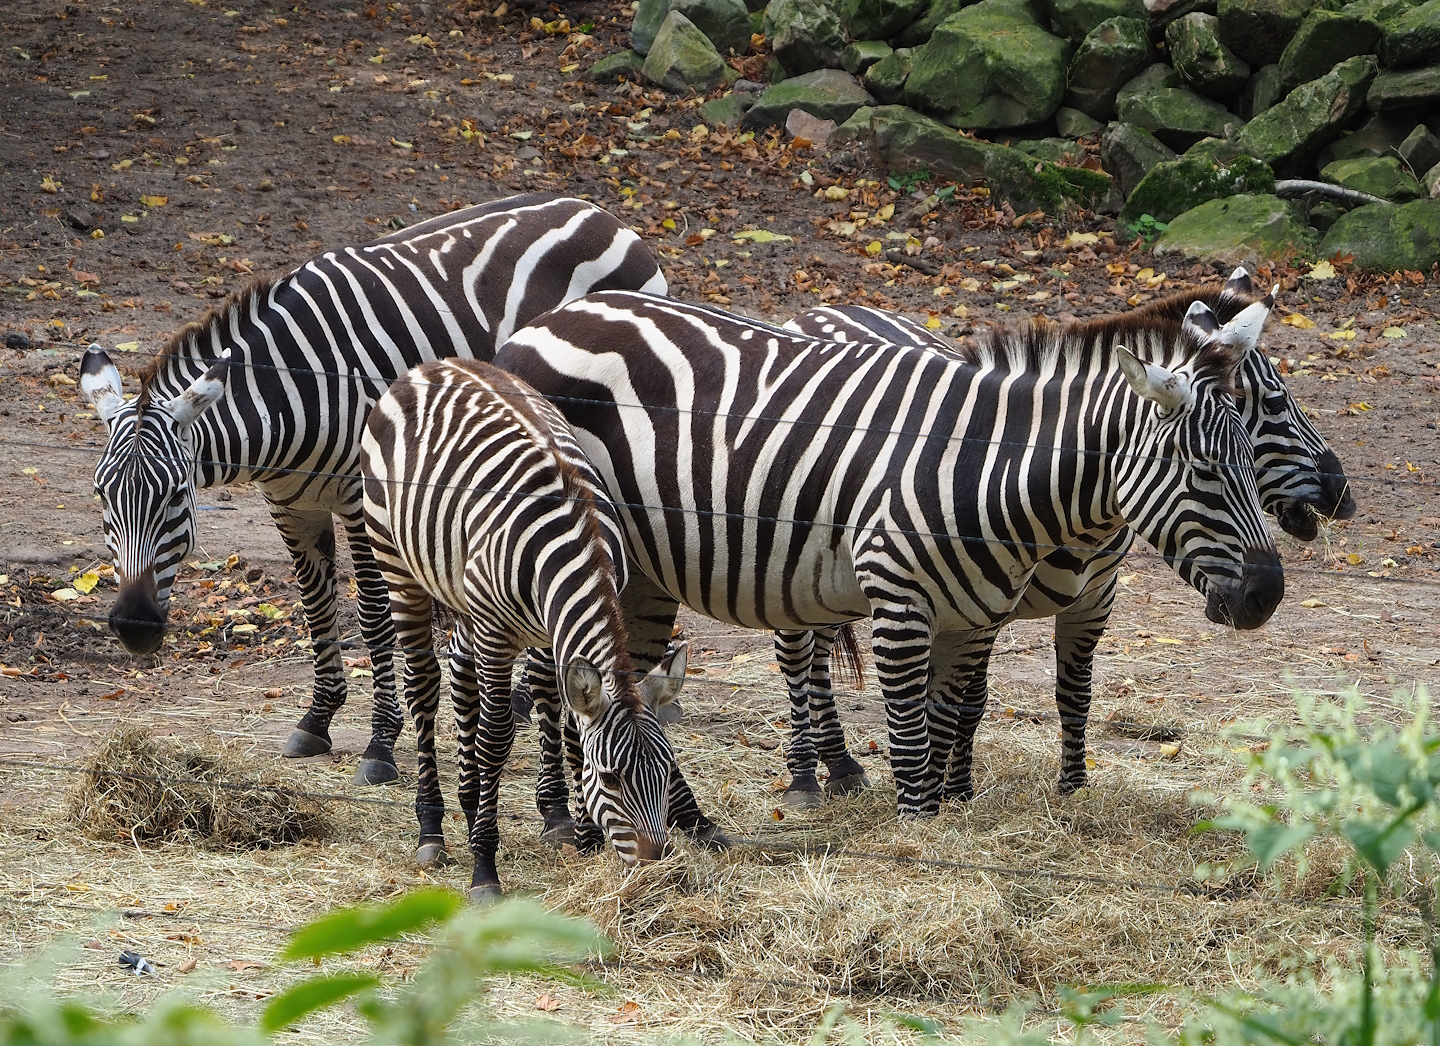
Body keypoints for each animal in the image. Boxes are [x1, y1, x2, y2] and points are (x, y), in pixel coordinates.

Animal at [77, 193, 666, 787]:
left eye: (176, 494)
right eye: (102, 494)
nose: (133, 628)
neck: (292, 390)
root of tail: (596, 211)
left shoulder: (364, 500)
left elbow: (373, 614)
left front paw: (381, 741)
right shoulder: (290, 507)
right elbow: (317, 606)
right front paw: (317, 718)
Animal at [359, 358, 689, 900]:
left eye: (665, 774)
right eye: (612, 779)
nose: (658, 868)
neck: (573, 546)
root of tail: (433, 365)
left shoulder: (556, 631)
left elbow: (570, 726)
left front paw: (584, 838)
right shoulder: (497, 632)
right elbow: (496, 738)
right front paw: (484, 866)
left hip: (467, 593)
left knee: (463, 672)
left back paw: (470, 798)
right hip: (396, 562)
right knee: (424, 689)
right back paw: (432, 829)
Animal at [493, 290, 1283, 817]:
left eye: (1252, 452)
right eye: (1204, 468)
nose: (1267, 594)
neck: (988, 468)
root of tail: (545, 321)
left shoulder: (972, 618)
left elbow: (950, 717)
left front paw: (949, 813)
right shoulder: (899, 601)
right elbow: (908, 731)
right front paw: (918, 835)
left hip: (644, 575)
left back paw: (682, 821)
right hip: (563, 541)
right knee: (547, 676)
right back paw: (560, 818)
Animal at [780, 269, 1351, 798]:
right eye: (1271, 400)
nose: (1342, 492)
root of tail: (827, 307)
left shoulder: (1094, 600)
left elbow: (1074, 694)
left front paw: (1072, 789)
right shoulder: (979, 604)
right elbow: (971, 699)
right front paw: (957, 790)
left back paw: (839, 761)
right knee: (799, 651)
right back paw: (813, 771)